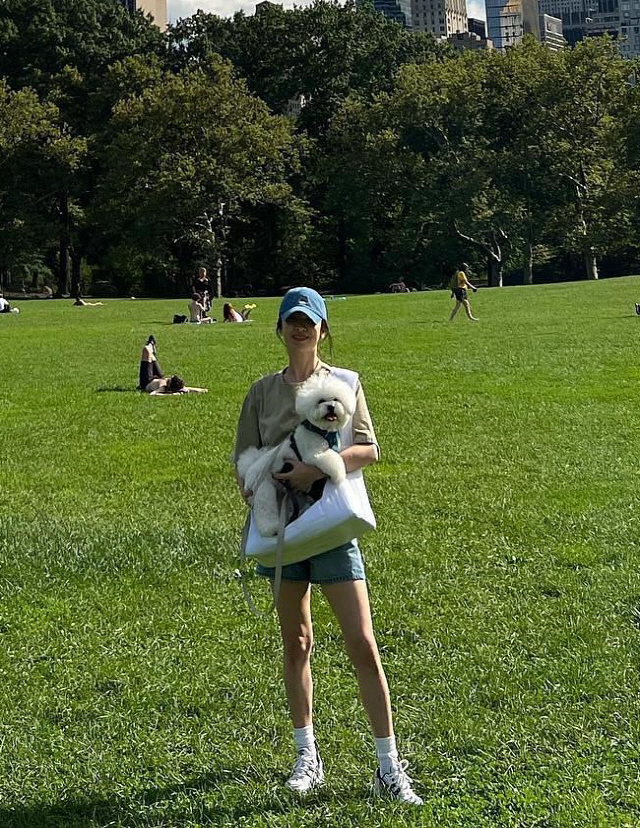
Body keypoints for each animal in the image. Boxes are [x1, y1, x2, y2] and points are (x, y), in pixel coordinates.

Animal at [237, 373, 357, 537]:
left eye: (336, 399)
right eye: (320, 401)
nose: (331, 406)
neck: (321, 431)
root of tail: (248, 470)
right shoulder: (313, 454)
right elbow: (334, 459)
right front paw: (339, 475)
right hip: (264, 488)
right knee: (264, 507)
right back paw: (271, 528)